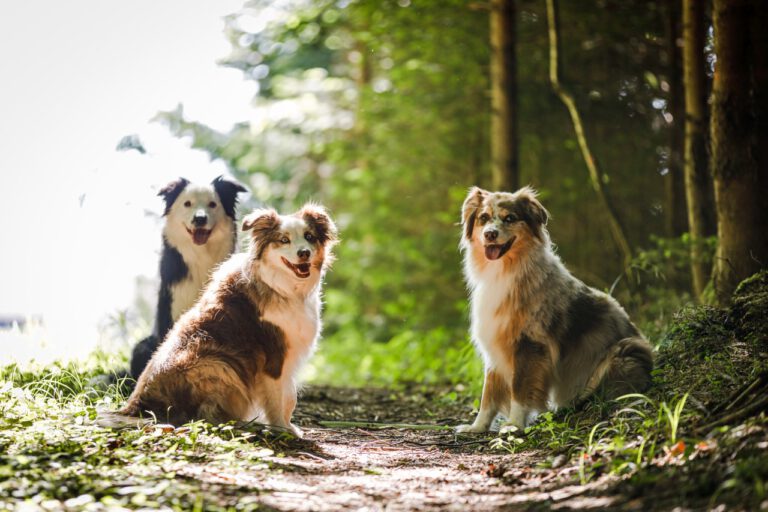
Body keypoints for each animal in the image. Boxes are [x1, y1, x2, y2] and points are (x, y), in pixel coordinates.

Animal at [113, 204, 336, 436]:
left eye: (309, 236)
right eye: (284, 240)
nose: (304, 253)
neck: (284, 287)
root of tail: (136, 407)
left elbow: (290, 396)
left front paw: (288, 426)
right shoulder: (274, 355)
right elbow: (278, 398)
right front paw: (282, 429)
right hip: (220, 365)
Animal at [456, 185, 656, 432]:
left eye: (510, 218)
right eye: (483, 218)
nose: (490, 234)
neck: (505, 270)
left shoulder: (530, 343)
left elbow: (519, 388)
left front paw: (514, 425)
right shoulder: (495, 342)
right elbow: (488, 392)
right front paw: (477, 427)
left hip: (623, 351)